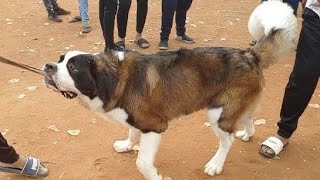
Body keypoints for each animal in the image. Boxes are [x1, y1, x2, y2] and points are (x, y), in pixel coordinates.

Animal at [42, 1, 298, 179]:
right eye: (61, 59)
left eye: (73, 67)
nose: (48, 66)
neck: (114, 78)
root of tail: (249, 54)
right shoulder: (137, 121)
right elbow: (132, 132)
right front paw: (127, 145)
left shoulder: (155, 126)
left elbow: (142, 163)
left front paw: (155, 176)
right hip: (236, 107)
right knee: (248, 118)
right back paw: (247, 133)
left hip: (217, 114)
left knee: (227, 140)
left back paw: (216, 164)